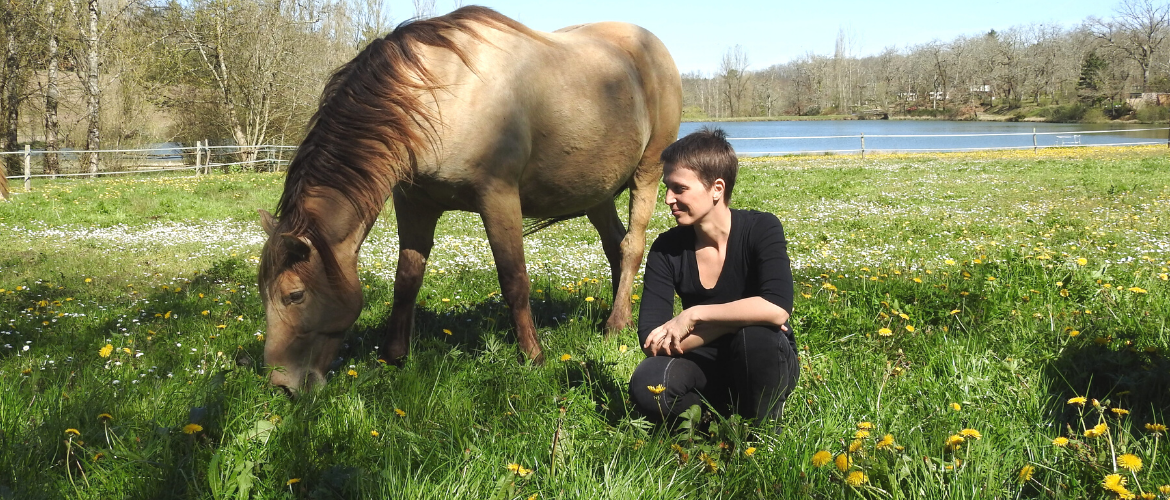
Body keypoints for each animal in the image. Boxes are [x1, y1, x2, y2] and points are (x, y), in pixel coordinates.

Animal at [251, 5, 683, 393]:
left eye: (294, 295)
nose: (281, 386)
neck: (439, 95)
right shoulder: (415, 203)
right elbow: (407, 278)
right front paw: (393, 355)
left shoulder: (499, 197)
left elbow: (514, 279)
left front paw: (533, 356)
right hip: (597, 193)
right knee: (614, 246)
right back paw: (616, 316)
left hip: (647, 174)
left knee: (632, 246)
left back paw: (614, 325)